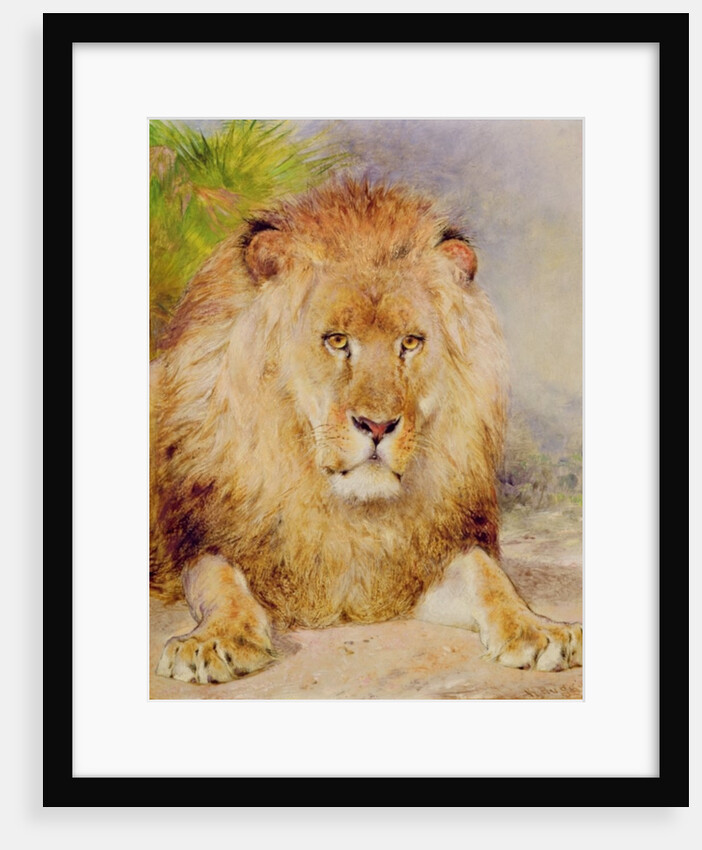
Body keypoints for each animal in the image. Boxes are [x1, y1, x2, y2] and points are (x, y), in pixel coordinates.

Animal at [150, 177, 582, 684]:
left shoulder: (417, 563)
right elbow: (219, 580)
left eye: (410, 343)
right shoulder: (206, 542)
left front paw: (538, 630)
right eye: (337, 340)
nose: (377, 425)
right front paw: (213, 641)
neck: (350, 510)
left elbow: (490, 579)